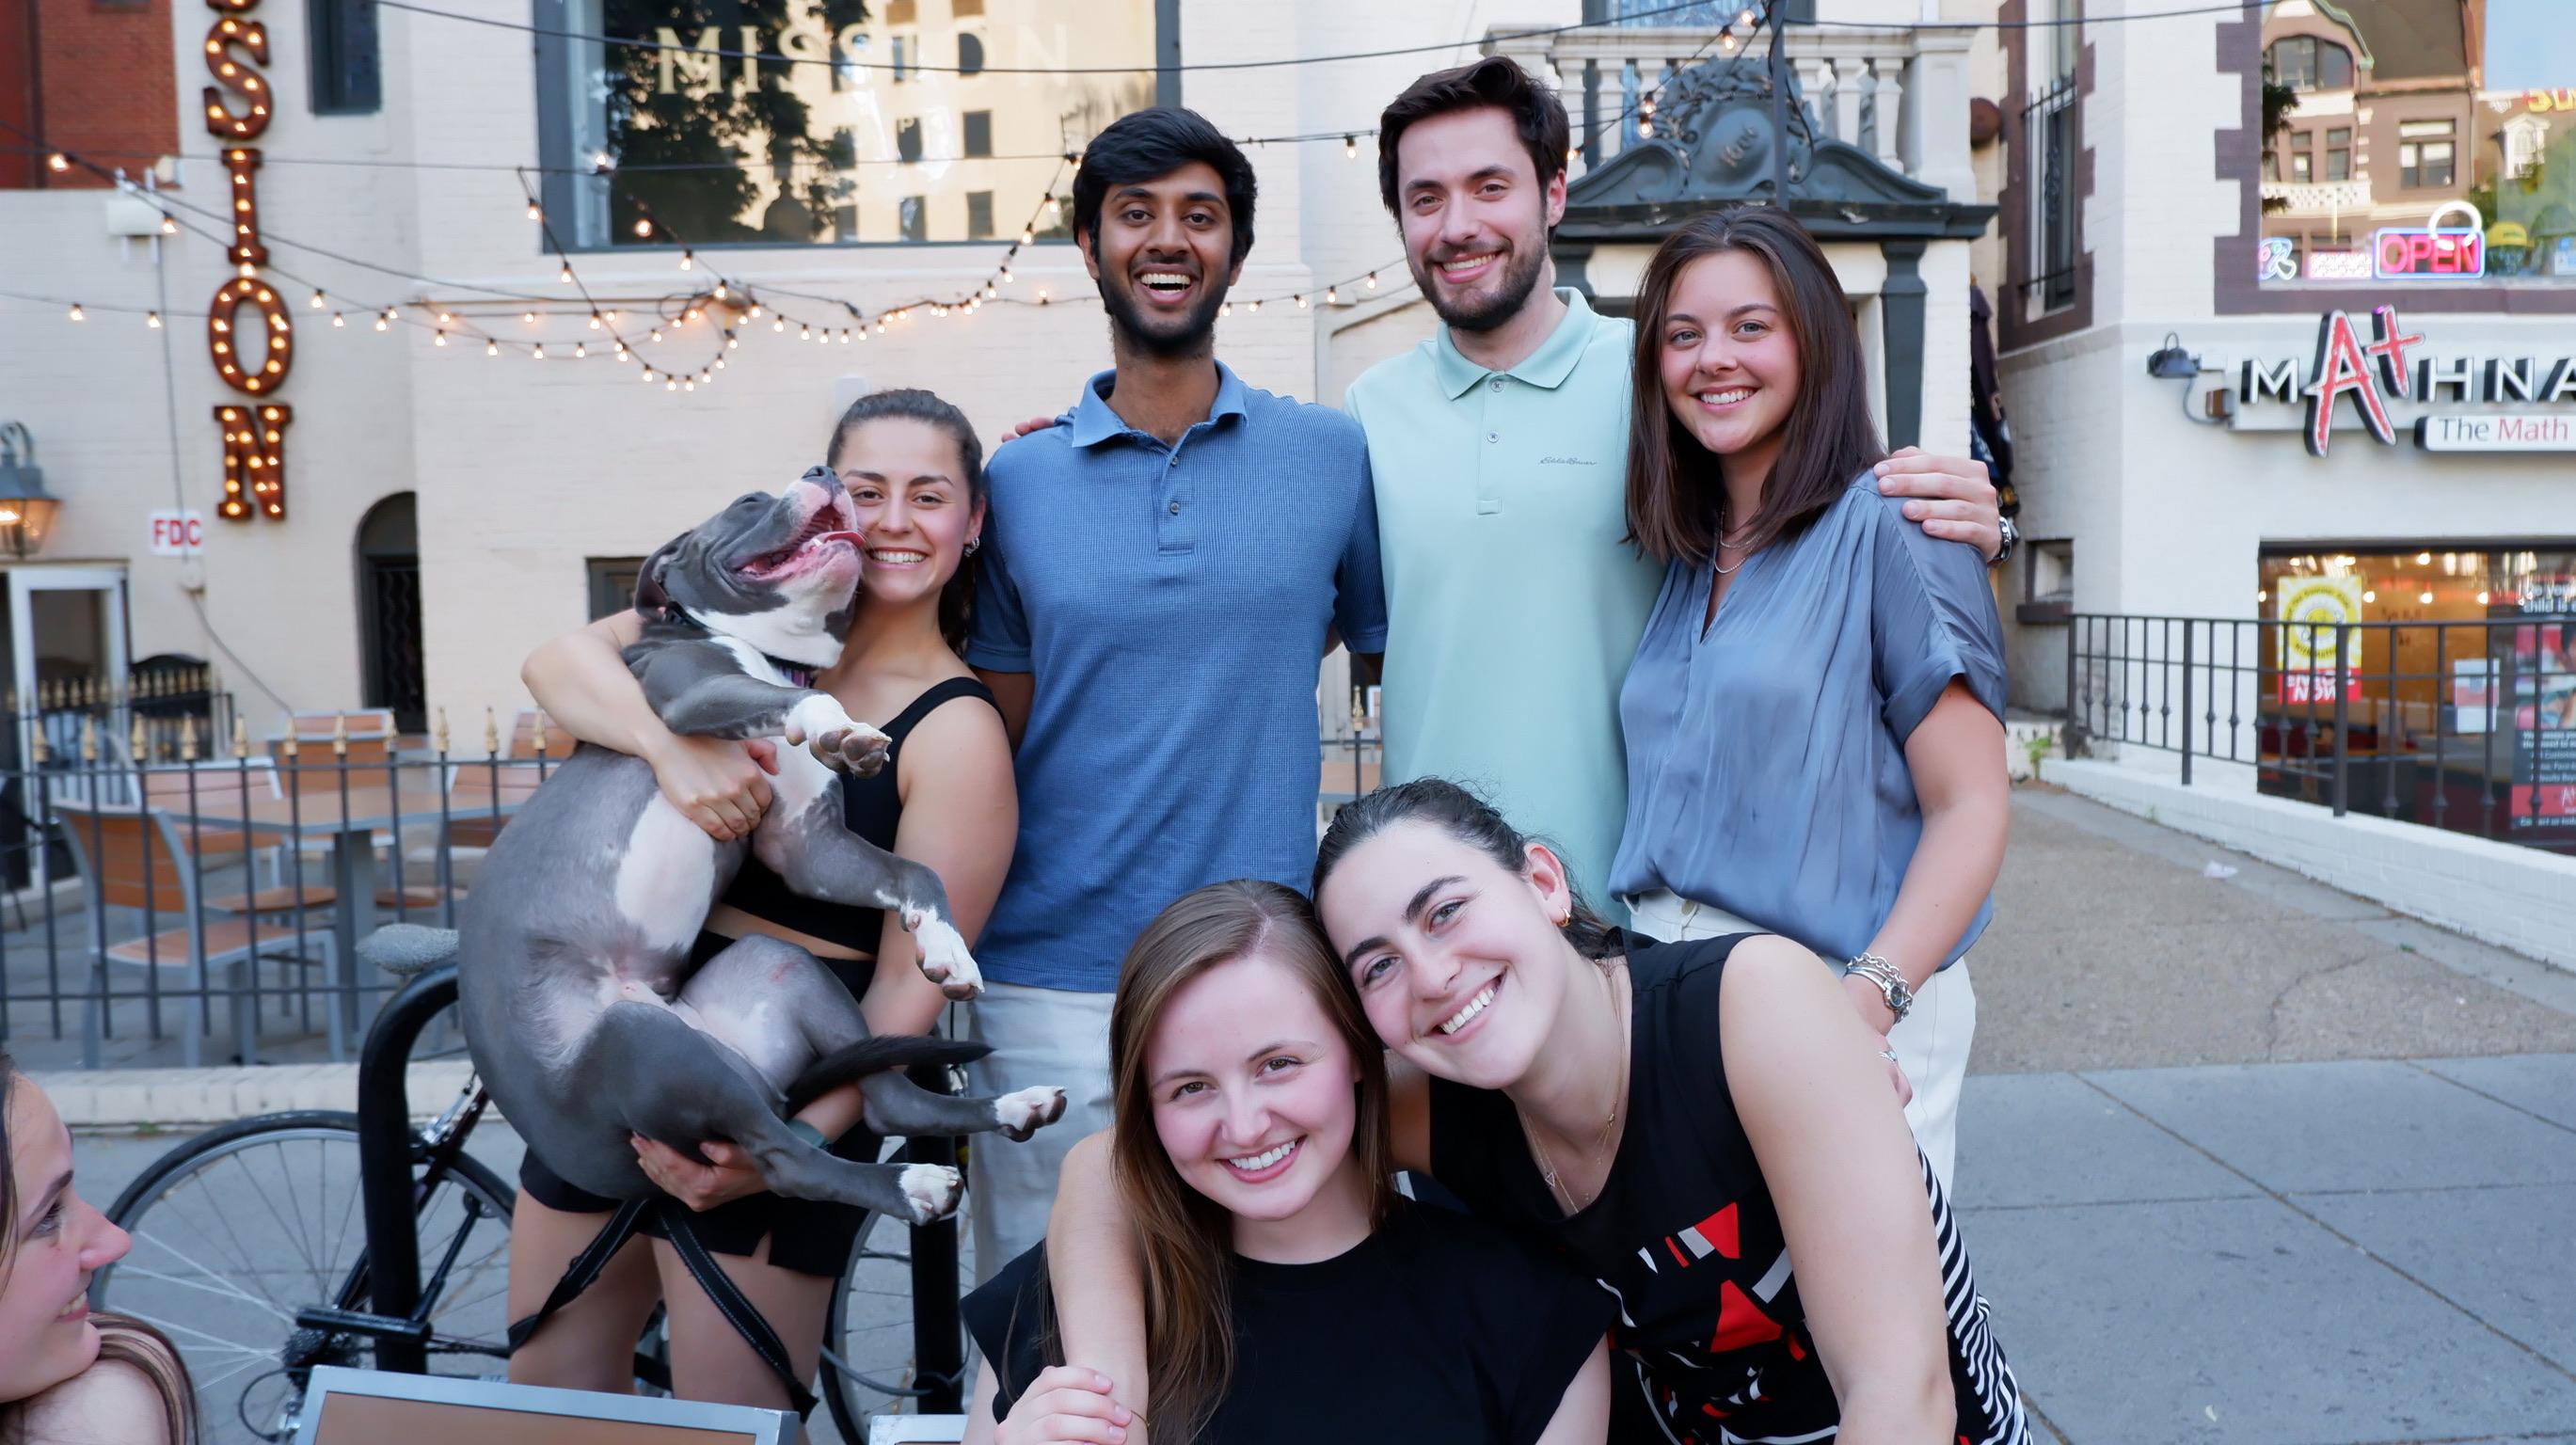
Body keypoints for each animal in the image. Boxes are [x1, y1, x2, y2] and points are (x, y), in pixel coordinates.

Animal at [458, 471, 1061, 1215]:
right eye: (748, 501)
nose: (823, 473)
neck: (774, 658)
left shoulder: (808, 849)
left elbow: (916, 873)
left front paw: (946, 947)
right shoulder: (695, 697)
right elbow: (810, 708)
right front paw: (842, 729)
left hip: (779, 967)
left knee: (889, 1104)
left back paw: (1014, 1109)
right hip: (645, 1045)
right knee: (787, 1163)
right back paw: (912, 1182)